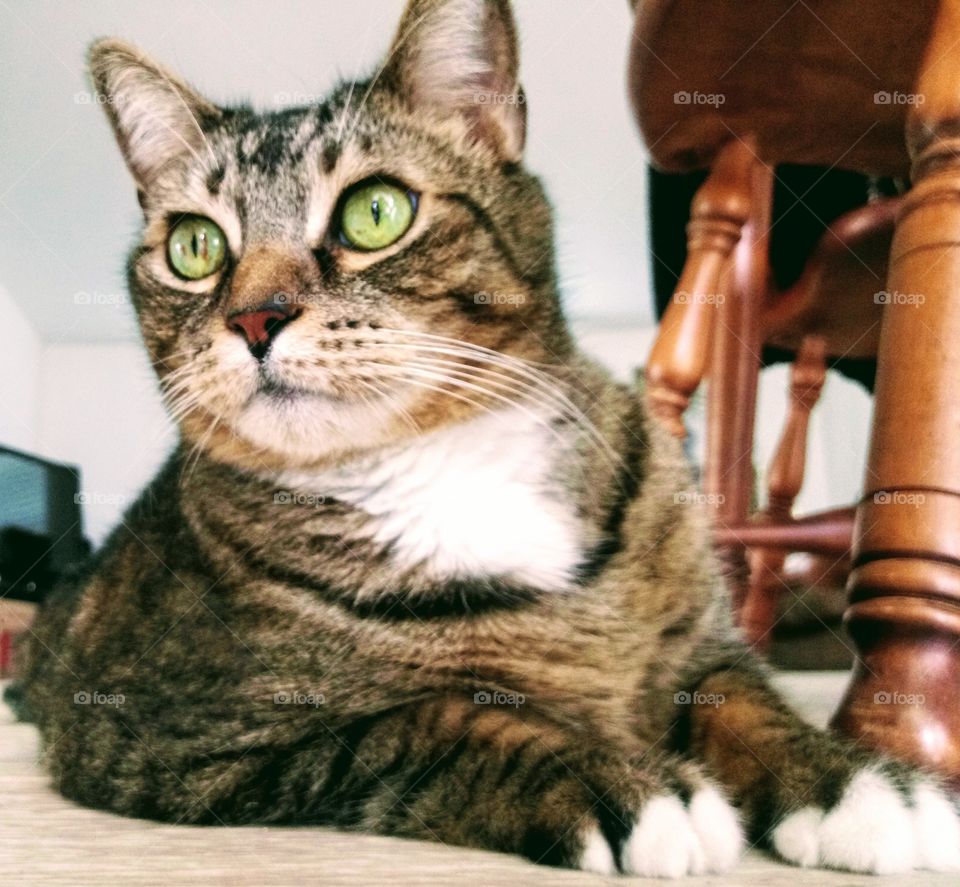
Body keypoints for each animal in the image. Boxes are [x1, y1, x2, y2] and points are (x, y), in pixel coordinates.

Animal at [16, 0, 960, 876]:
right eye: (196, 245)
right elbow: (435, 718)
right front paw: (622, 783)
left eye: (375, 212)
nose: (254, 316)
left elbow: (745, 698)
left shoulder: (695, 642)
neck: (446, 456)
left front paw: (848, 781)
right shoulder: (184, 736)